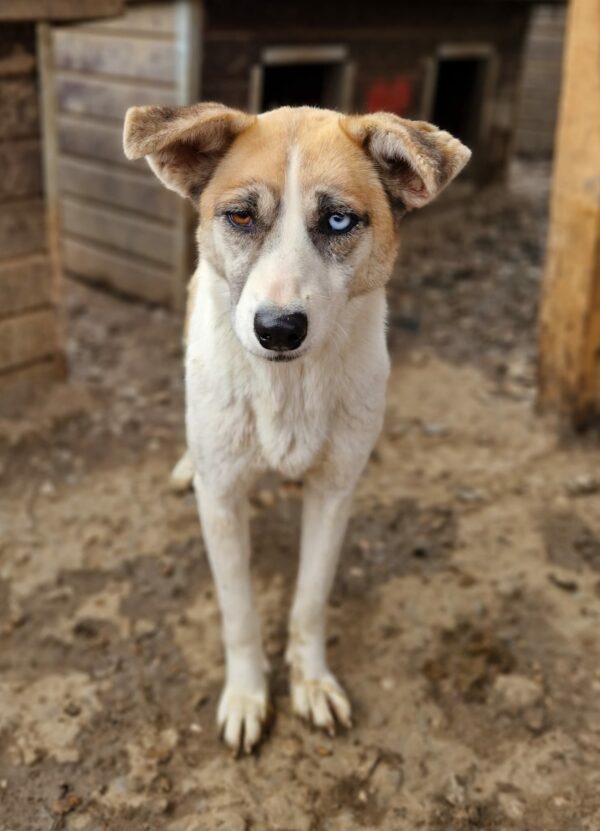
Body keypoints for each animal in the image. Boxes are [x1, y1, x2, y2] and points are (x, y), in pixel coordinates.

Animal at [122, 104, 468, 752]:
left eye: (337, 219)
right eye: (240, 216)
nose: (278, 329)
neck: (289, 390)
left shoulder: (334, 492)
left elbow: (309, 600)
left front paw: (311, 683)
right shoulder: (222, 499)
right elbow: (238, 613)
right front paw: (247, 696)